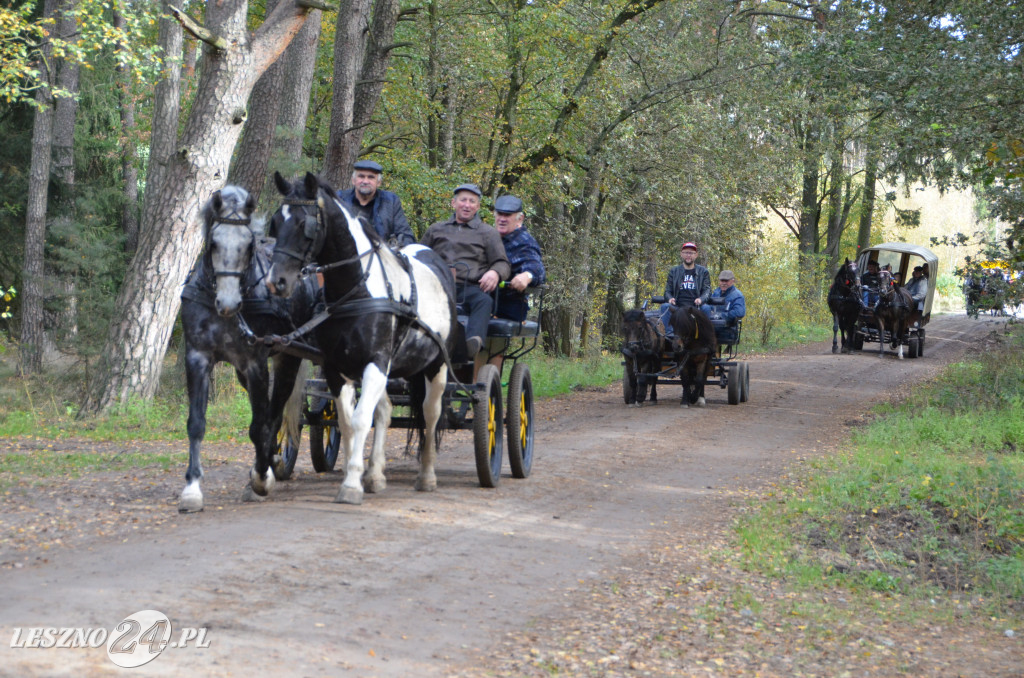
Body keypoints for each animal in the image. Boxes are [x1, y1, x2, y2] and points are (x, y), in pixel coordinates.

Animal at [179, 186, 315, 516]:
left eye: (248, 244)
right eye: (213, 242)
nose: (228, 304)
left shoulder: (256, 363)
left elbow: (259, 426)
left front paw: (260, 478)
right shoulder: (198, 358)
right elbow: (196, 423)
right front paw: (191, 488)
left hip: (287, 359)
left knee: (274, 414)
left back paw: (267, 465)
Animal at [266, 173, 458, 507]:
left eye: (305, 225)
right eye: (276, 223)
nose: (276, 282)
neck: (359, 290)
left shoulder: (376, 364)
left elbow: (359, 421)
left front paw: (351, 485)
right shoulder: (336, 369)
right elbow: (347, 423)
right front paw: (356, 475)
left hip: (436, 366)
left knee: (431, 413)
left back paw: (426, 476)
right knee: (385, 411)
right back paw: (375, 475)